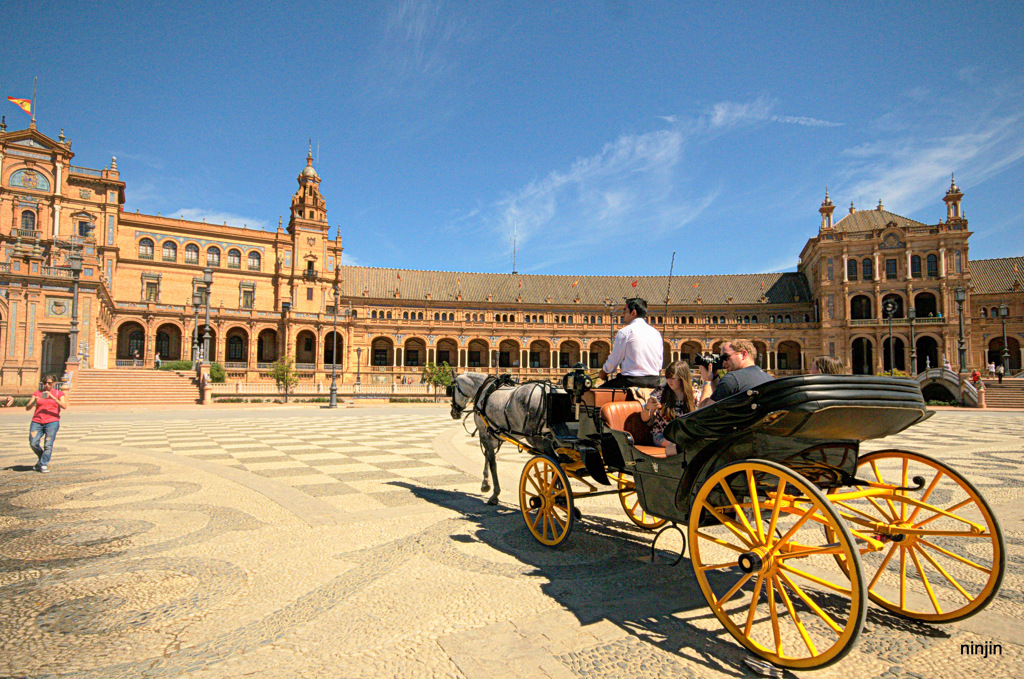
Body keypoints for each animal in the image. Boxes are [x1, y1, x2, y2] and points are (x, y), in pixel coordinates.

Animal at [450, 372, 557, 503]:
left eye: (451, 389)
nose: (453, 412)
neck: (483, 389)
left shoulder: (484, 433)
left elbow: (492, 462)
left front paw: (494, 494)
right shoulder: (493, 434)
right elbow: (488, 456)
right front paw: (485, 484)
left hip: (536, 438)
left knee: (555, 461)